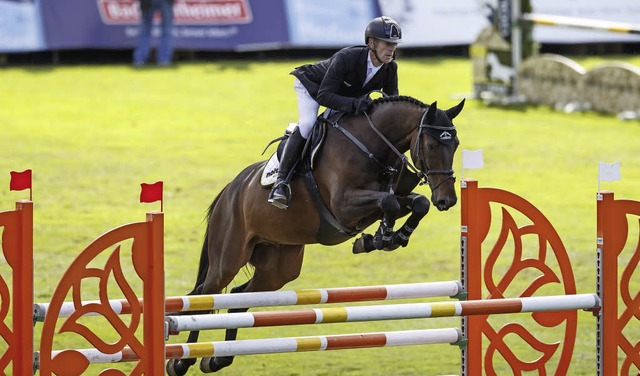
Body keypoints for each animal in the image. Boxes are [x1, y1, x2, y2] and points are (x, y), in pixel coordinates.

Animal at [166, 94, 464, 376]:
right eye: (432, 145)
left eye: (456, 144)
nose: (447, 200)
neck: (372, 146)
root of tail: (229, 190)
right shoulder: (345, 206)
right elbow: (389, 202)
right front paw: (381, 237)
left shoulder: (382, 201)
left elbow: (416, 203)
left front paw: (384, 238)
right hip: (228, 257)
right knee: (205, 297)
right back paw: (181, 362)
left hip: (279, 267)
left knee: (239, 298)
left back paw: (218, 358)